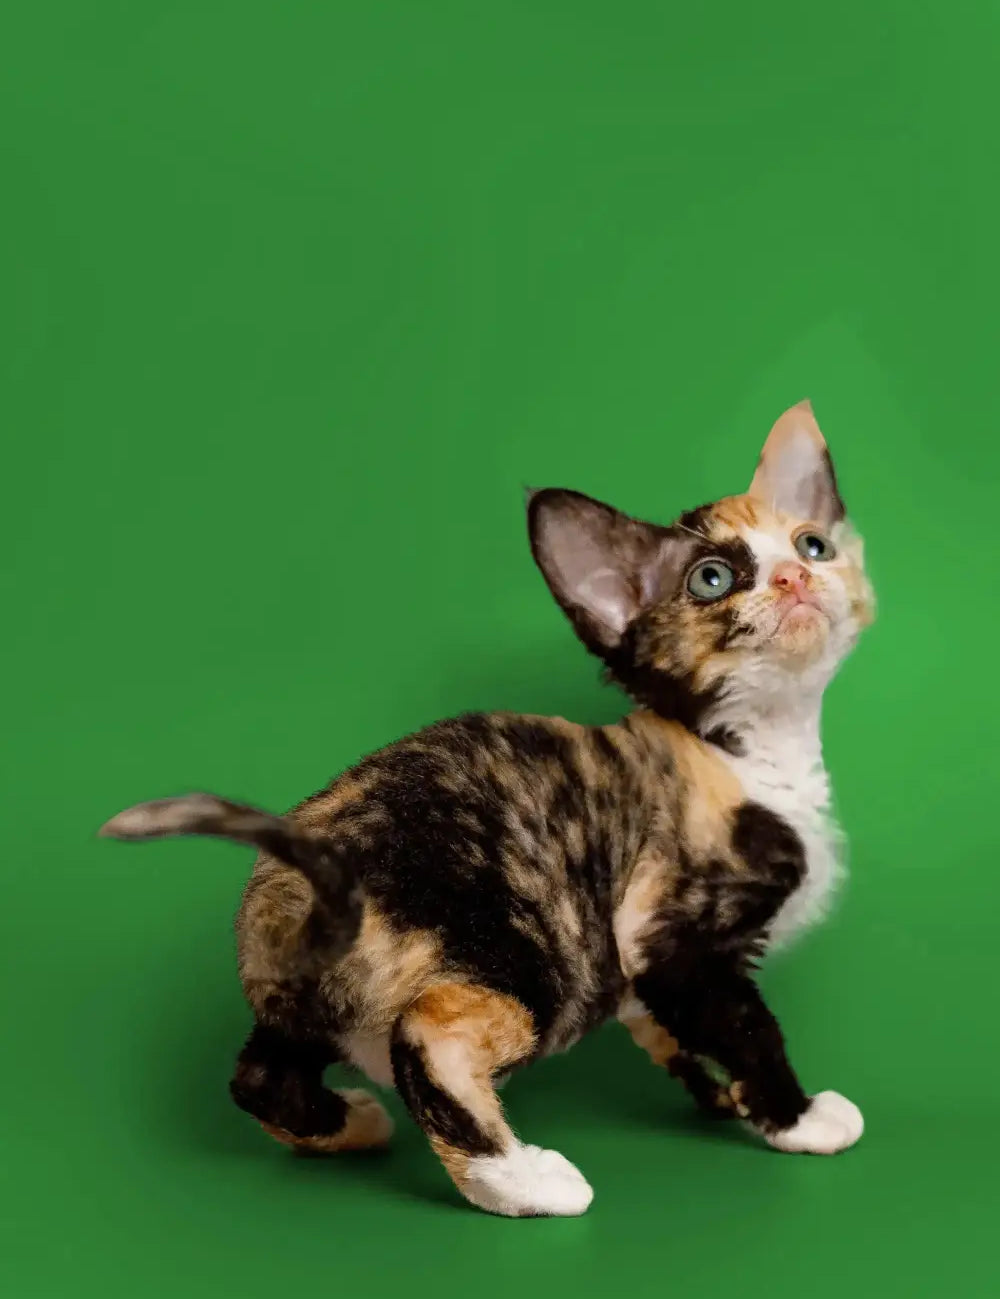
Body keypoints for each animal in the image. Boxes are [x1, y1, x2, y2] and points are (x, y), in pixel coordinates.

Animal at [97, 397, 867, 1215]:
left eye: (814, 544)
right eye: (713, 578)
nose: (795, 575)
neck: (754, 750)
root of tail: (301, 879)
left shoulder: (642, 971)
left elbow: (675, 1030)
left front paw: (724, 1099)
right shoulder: (666, 931)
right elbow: (746, 1025)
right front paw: (798, 1116)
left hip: (301, 998)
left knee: (257, 1074)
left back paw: (349, 1125)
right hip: (535, 954)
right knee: (427, 1036)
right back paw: (524, 1179)